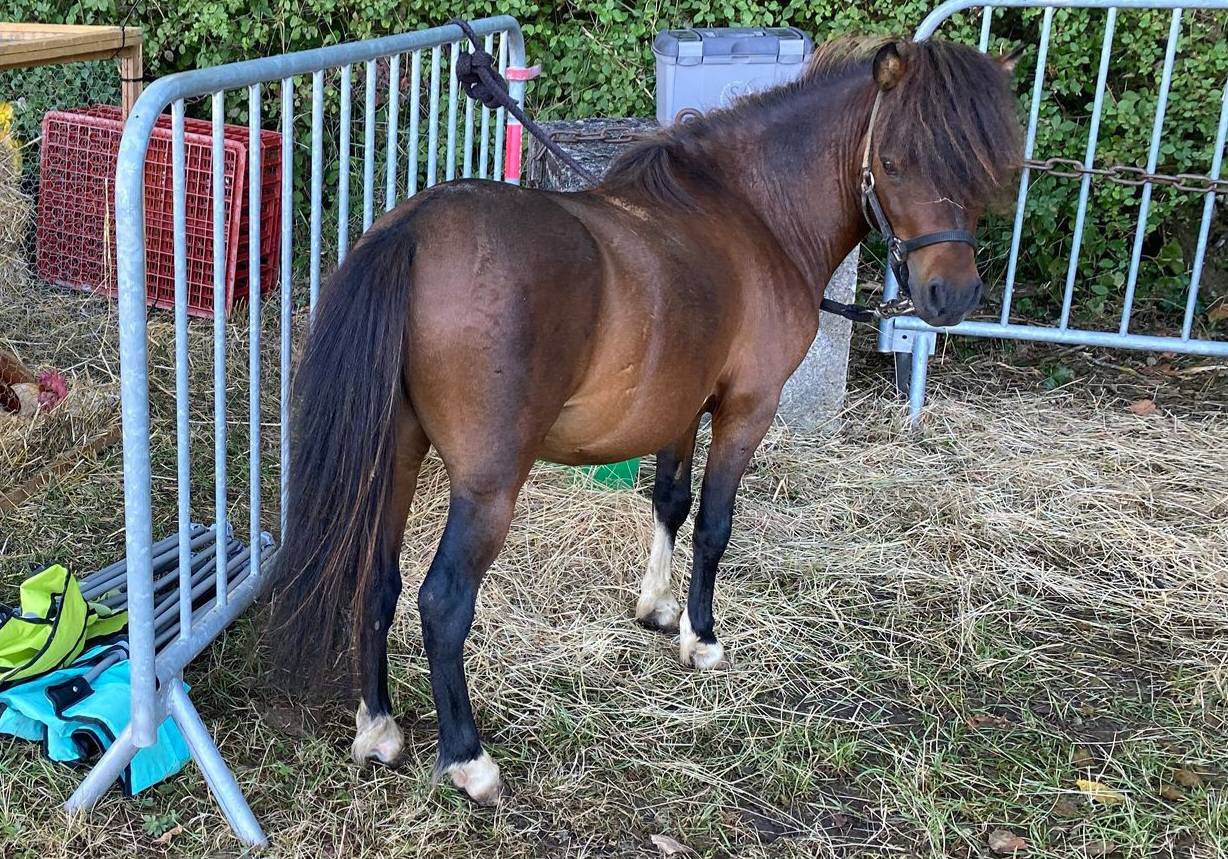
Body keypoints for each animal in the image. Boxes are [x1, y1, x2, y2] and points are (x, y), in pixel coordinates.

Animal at [266, 35, 1023, 804]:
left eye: (982, 167)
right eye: (894, 161)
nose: (951, 294)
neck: (753, 216)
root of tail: (416, 232)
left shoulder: (680, 409)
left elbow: (671, 501)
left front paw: (658, 610)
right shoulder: (747, 408)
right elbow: (714, 524)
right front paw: (702, 637)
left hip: (395, 455)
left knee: (375, 578)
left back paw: (379, 727)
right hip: (487, 485)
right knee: (443, 600)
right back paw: (469, 759)